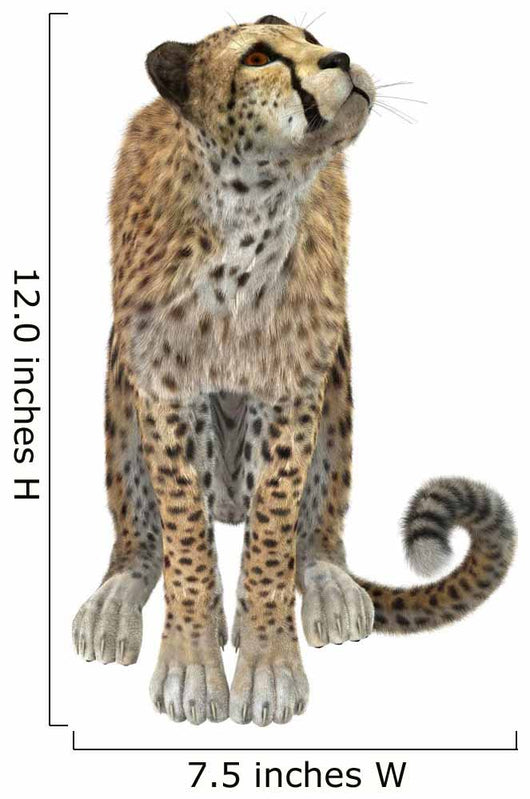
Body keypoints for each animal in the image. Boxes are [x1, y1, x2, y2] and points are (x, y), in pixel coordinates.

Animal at [72, 15, 516, 726]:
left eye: (311, 37)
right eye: (258, 58)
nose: (341, 58)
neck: (250, 213)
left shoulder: (294, 387)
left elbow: (273, 534)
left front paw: (268, 665)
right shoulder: (164, 387)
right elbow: (186, 537)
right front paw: (193, 663)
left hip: (336, 375)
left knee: (313, 532)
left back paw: (329, 587)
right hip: (122, 376)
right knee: (147, 531)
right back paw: (118, 601)